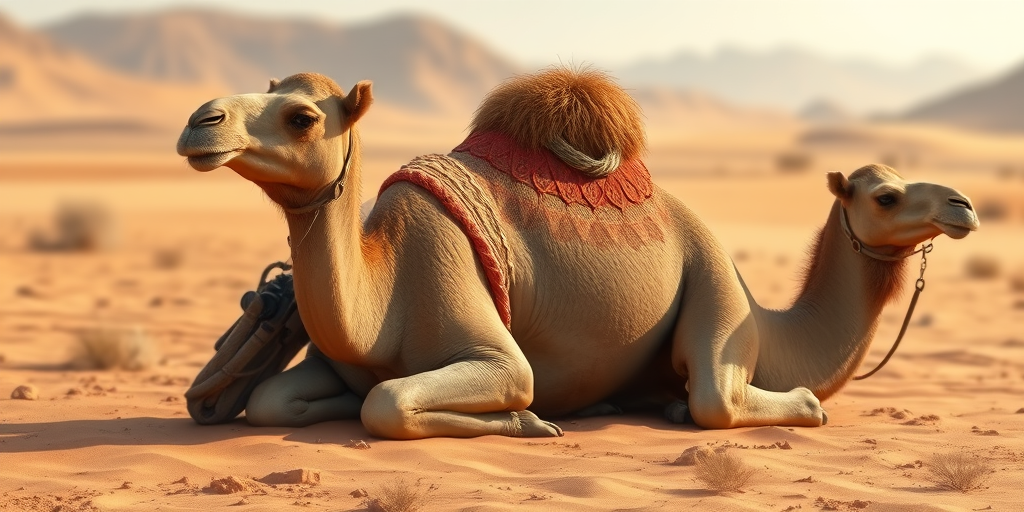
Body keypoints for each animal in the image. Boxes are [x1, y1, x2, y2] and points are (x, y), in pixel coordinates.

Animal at [176, 68, 979, 439]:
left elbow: (392, 400)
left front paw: (529, 420)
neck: (382, 280)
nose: (200, 120)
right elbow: (283, 400)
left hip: (711, 284)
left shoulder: (495, 350)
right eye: (885, 195)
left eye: (303, 116)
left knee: (716, 401)